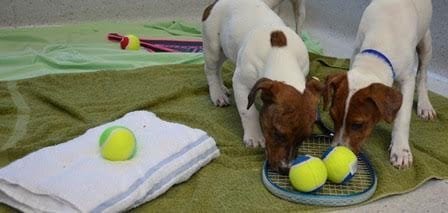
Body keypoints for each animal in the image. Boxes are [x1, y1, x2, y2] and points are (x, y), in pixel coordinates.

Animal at [202, 0, 322, 173]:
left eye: (304, 138)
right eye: (278, 134)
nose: (285, 169)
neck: (281, 56)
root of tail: (215, 3)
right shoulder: (241, 83)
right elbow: (248, 112)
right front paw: (254, 136)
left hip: (227, 47)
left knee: (218, 67)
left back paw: (222, 88)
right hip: (213, 46)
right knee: (211, 69)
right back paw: (217, 93)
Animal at [324, 0, 436, 169]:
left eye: (358, 125)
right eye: (332, 116)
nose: (336, 149)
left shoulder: (407, 79)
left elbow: (402, 117)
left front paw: (400, 149)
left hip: (426, 41)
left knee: (422, 74)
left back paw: (425, 105)